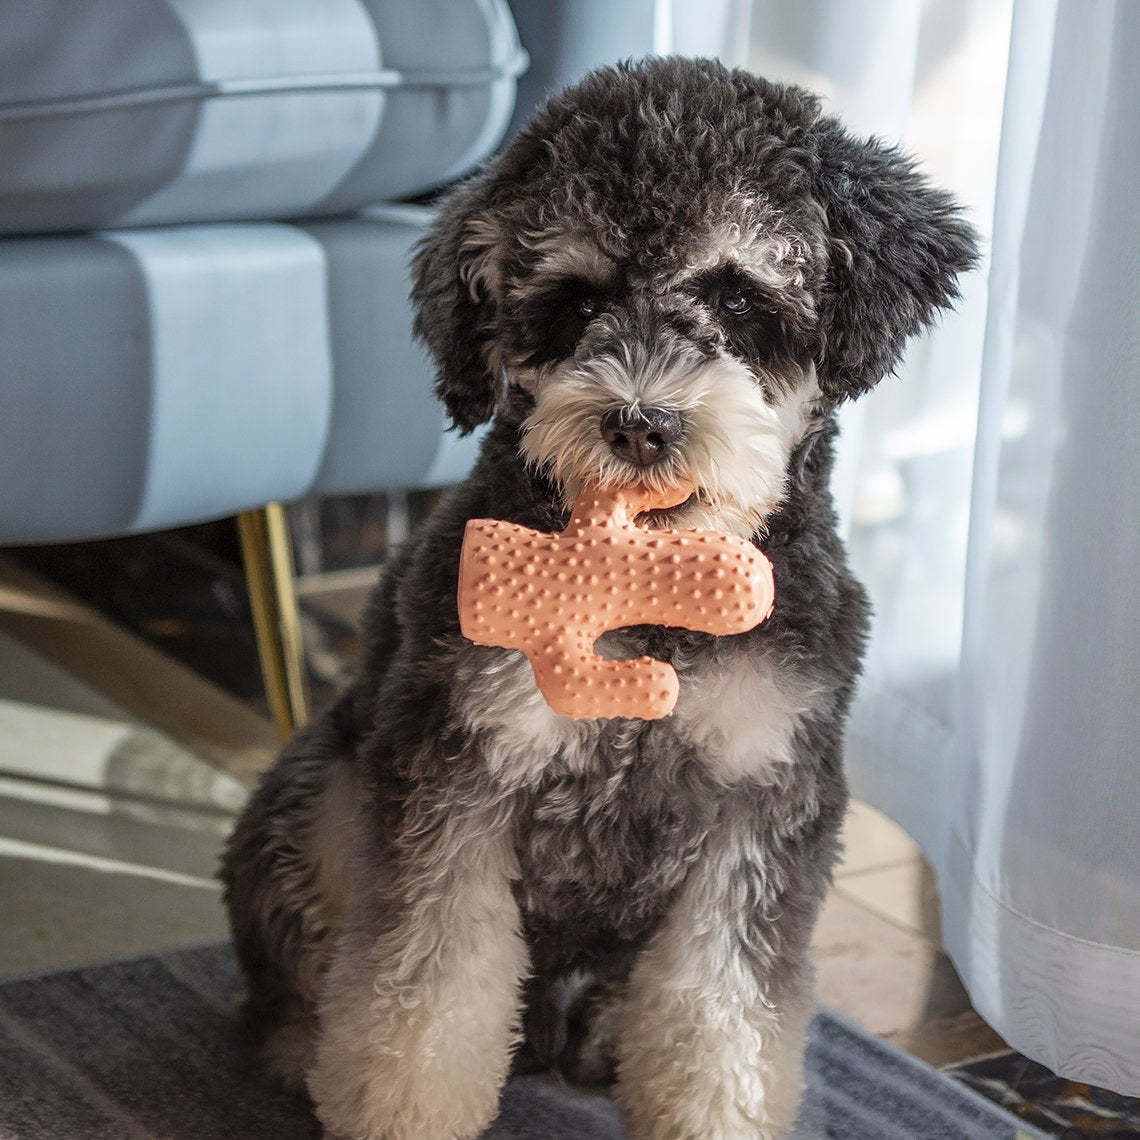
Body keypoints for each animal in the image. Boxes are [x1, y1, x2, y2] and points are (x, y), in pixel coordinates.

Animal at [224, 55, 980, 1140]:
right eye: (576, 303)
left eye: (739, 298)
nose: (641, 425)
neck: (649, 596)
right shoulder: (455, 775)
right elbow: (422, 1002)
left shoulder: (763, 809)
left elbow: (724, 1019)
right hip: (321, 790)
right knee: (304, 966)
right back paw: (297, 1050)